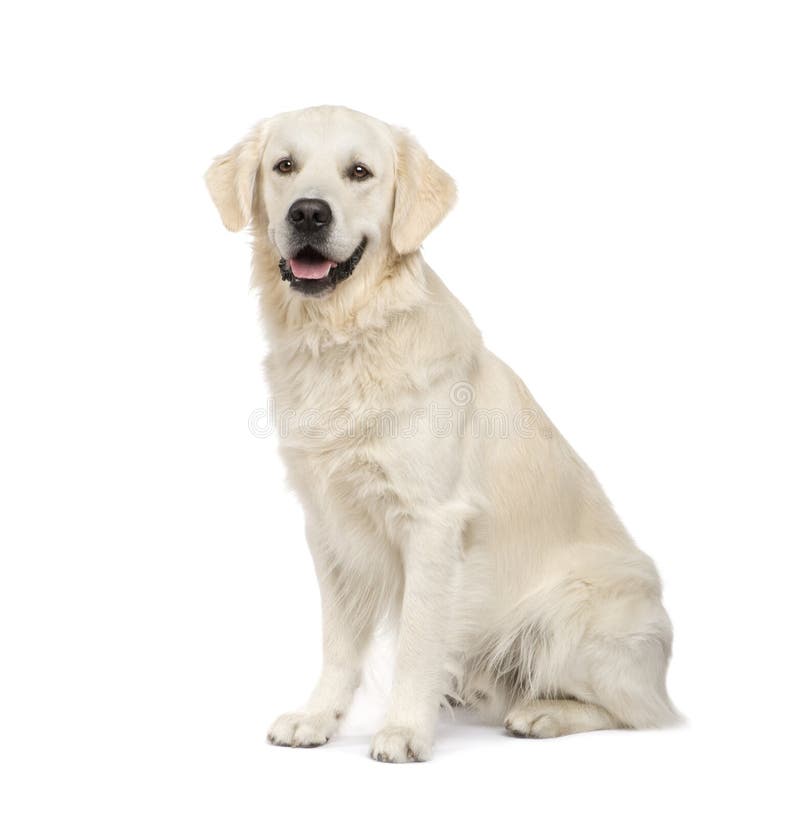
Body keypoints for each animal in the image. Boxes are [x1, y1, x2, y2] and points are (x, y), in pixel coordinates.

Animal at [205, 105, 676, 760]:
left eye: (359, 172)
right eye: (284, 166)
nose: (308, 213)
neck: (346, 339)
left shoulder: (430, 523)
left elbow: (417, 642)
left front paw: (404, 729)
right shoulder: (329, 526)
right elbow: (338, 644)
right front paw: (319, 717)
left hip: (574, 609)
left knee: (639, 711)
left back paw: (543, 713)